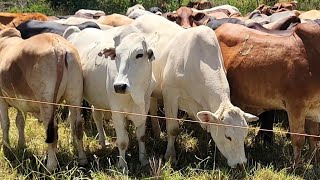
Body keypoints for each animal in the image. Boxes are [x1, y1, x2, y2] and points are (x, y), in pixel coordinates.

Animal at [0, 28, 87, 172]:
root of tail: (59, 47)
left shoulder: (2, 99)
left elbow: (5, 123)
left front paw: (6, 146)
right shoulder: (20, 102)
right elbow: (20, 121)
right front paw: (21, 145)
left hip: (46, 101)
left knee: (51, 128)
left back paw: (50, 165)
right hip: (75, 95)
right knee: (78, 125)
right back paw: (82, 158)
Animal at [63, 25, 156, 170]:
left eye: (139, 54)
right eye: (116, 55)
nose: (119, 86)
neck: (136, 93)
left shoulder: (144, 110)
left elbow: (141, 136)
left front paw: (144, 159)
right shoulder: (117, 112)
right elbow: (122, 141)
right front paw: (122, 165)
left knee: (96, 116)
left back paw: (102, 141)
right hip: (74, 98)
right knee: (73, 119)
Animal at [131, 14, 258, 168]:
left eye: (245, 134)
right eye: (228, 136)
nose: (241, 163)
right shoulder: (170, 94)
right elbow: (173, 129)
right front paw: (170, 156)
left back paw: (156, 132)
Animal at [214, 22, 320, 165]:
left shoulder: (312, 110)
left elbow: (314, 139)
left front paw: (315, 163)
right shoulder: (296, 106)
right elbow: (299, 140)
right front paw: (297, 166)